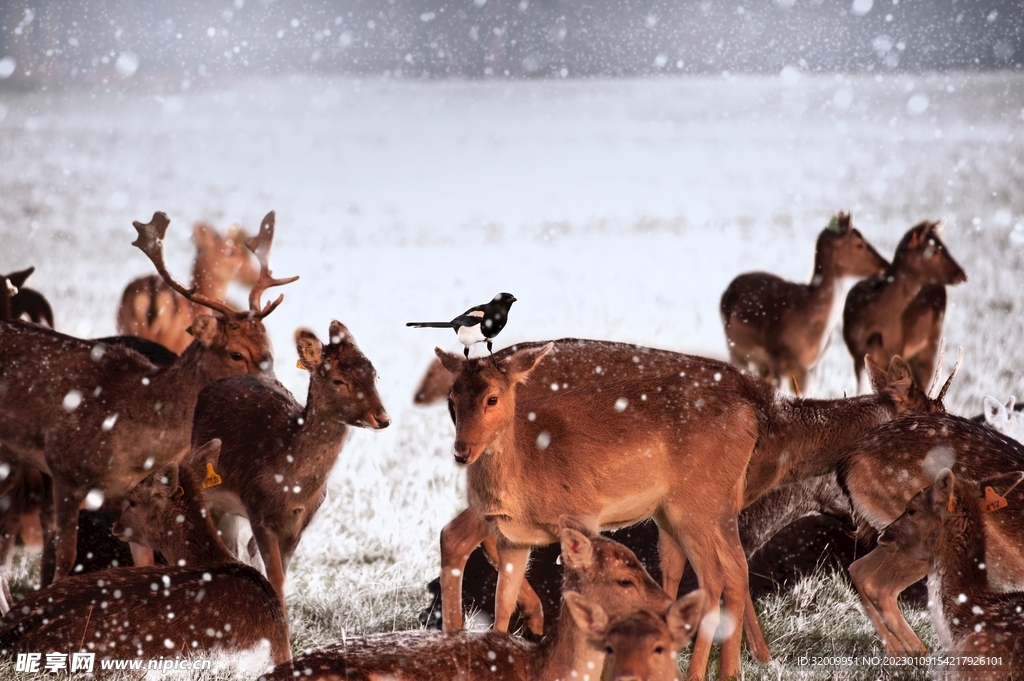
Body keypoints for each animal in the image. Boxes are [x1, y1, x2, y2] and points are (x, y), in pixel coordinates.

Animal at [184, 321, 390, 618]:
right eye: (338, 380)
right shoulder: (258, 511)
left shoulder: (300, 523)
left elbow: (281, 574)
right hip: (212, 497)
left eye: (374, 374)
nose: (383, 418)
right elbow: (276, 577)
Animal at [843, 219, 967, 392]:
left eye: (944, 247)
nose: (961, 274)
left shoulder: (896, 348)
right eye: (933, 250)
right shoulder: (857, 353)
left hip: (931, 343)